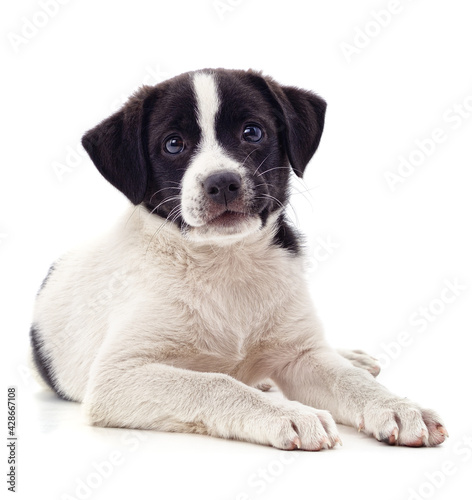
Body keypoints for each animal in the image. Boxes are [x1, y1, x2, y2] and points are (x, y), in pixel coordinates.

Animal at [31, 67, 448, 450]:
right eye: (173, 144)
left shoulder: (301, 357)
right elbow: (217, 382)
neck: (226, 263)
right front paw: (288, 413)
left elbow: (348, 379)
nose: (222, 183)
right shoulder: (117, 377)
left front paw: (399, 406)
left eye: (252, 132)